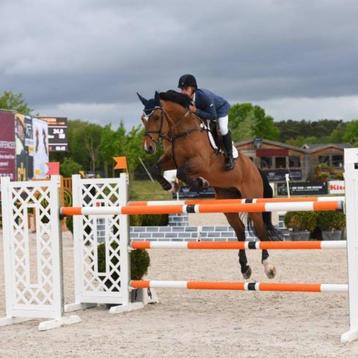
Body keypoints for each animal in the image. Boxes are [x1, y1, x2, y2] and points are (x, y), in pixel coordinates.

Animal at [137, 90, 280, 280]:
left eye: (157, 116)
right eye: (143, 119)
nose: (149, 148)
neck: (183, 130)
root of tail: (255, 168)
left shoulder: (201, 163)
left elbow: (182, 172)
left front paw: (200, 182)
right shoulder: (171, 159)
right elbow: (156, 168)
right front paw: (169, 185)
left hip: (252, 200)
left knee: (260, 230)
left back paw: (269, 267)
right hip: (228, 201)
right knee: (240, 231)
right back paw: (245, 268)